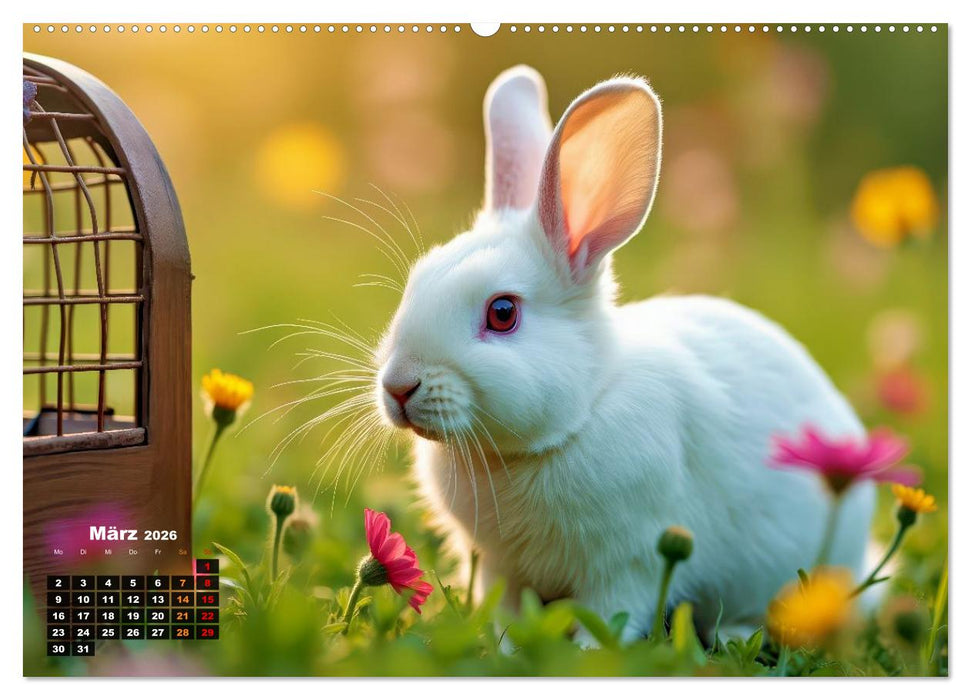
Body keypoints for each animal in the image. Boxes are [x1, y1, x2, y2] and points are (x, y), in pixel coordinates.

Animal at [372, 65, 875, 646]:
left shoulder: (629, 565)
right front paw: (502, 646)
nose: (398, 386)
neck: (570, 423)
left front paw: (587, 651)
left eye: (502, 313)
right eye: (417, 281)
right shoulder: (502, 569)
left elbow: (611, 616)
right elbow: (507, 612)